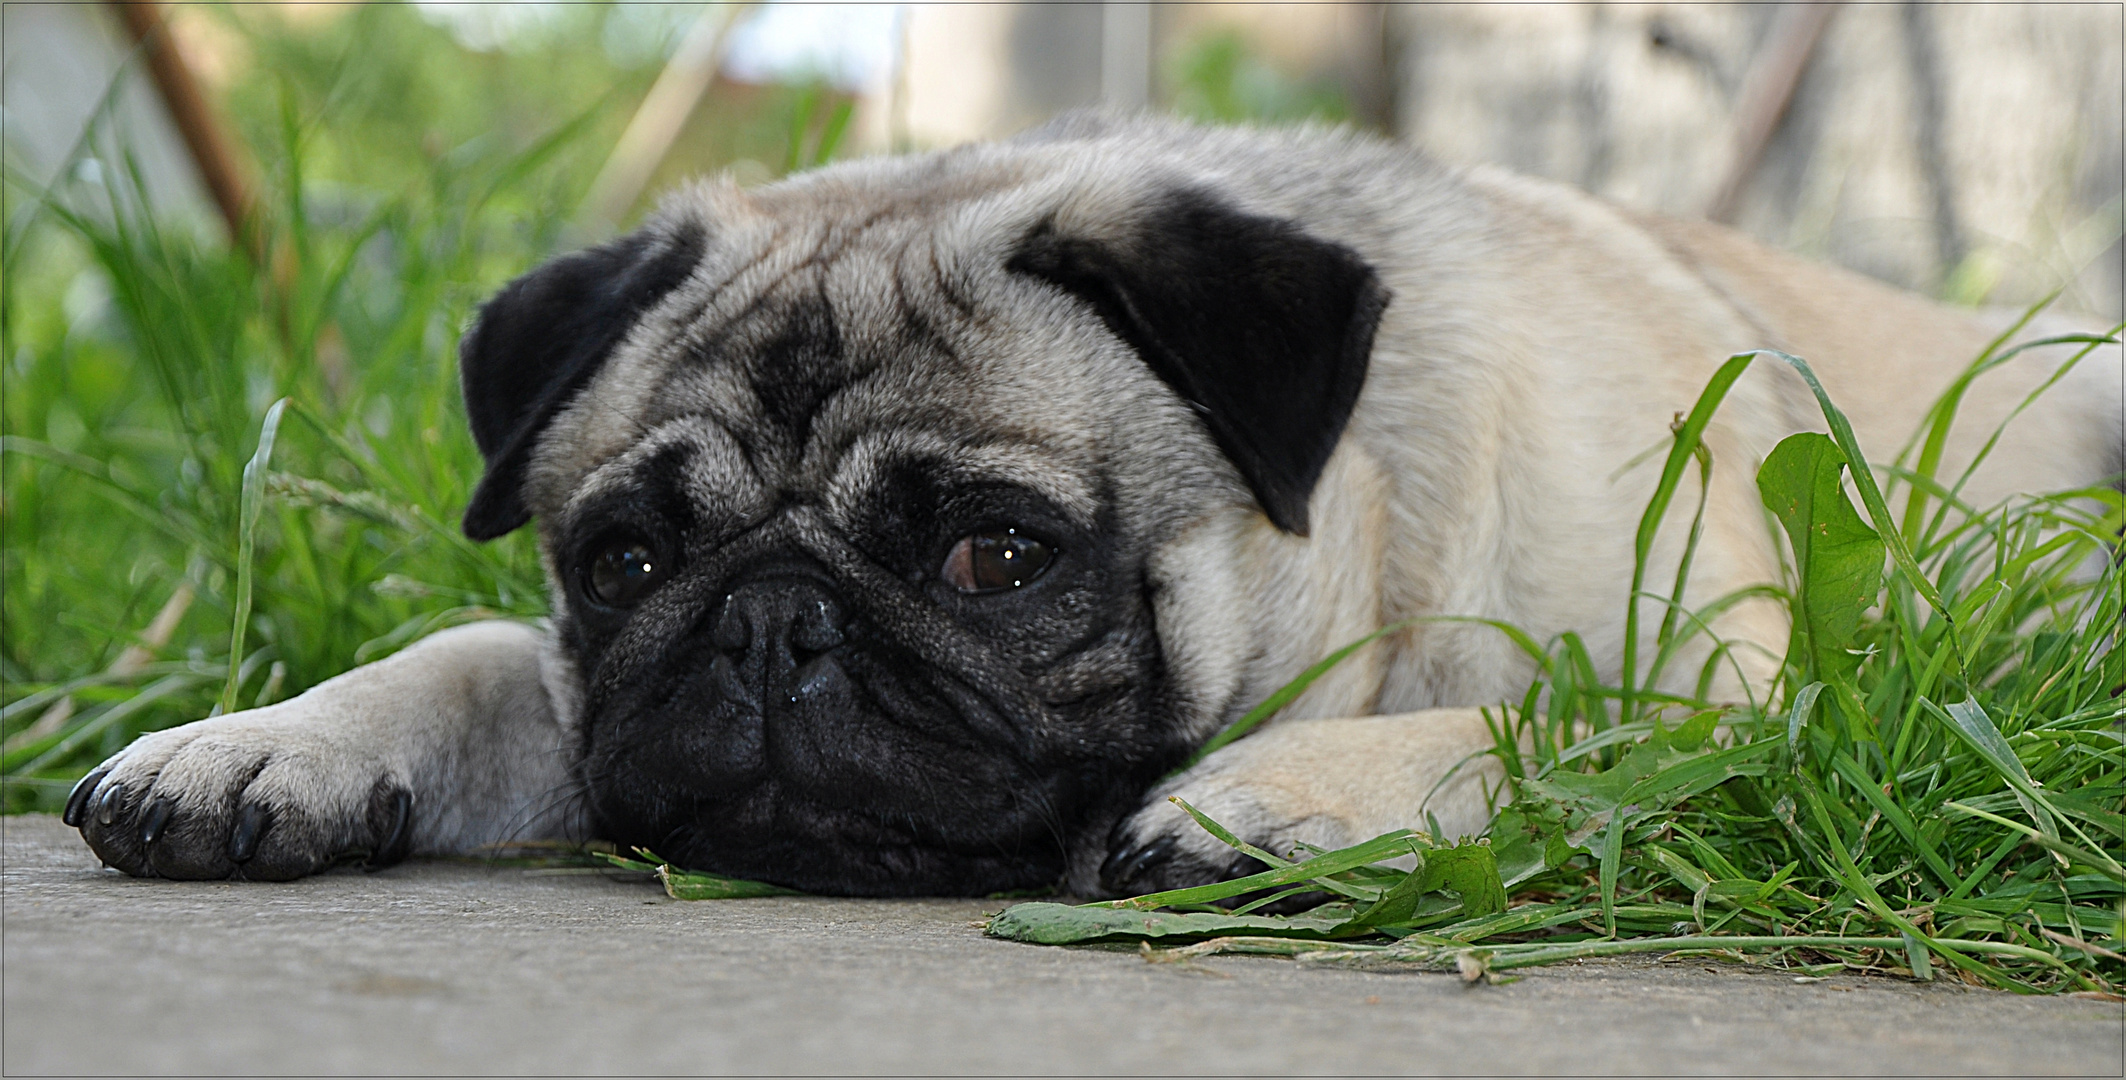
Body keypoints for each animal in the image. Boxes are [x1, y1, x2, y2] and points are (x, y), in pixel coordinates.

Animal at [66, 115, 2126, 892]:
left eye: (999, 553)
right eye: (628, 557)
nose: (771, 621)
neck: (1394, 543)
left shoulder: (1732, 705)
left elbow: (1539, 715)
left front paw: (1282, 794)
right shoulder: (576, 673)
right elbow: (486, 655)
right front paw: (267, 743)